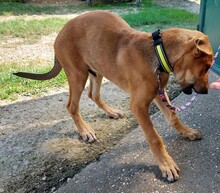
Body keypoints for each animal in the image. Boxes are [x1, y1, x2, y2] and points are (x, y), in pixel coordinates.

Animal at [13, 11, 213, 182]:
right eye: (206, 67)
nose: (206, 91)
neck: (157, 53)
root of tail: (60, 32)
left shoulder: (159, 92)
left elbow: (173, 117)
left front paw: (187, 132)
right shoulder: (139, 106)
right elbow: (154, 138)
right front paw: (166, 164)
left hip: (97, 70)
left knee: (93, 94)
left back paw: (112, 112)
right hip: (78, 74)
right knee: (72, 106)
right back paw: (85, 131)